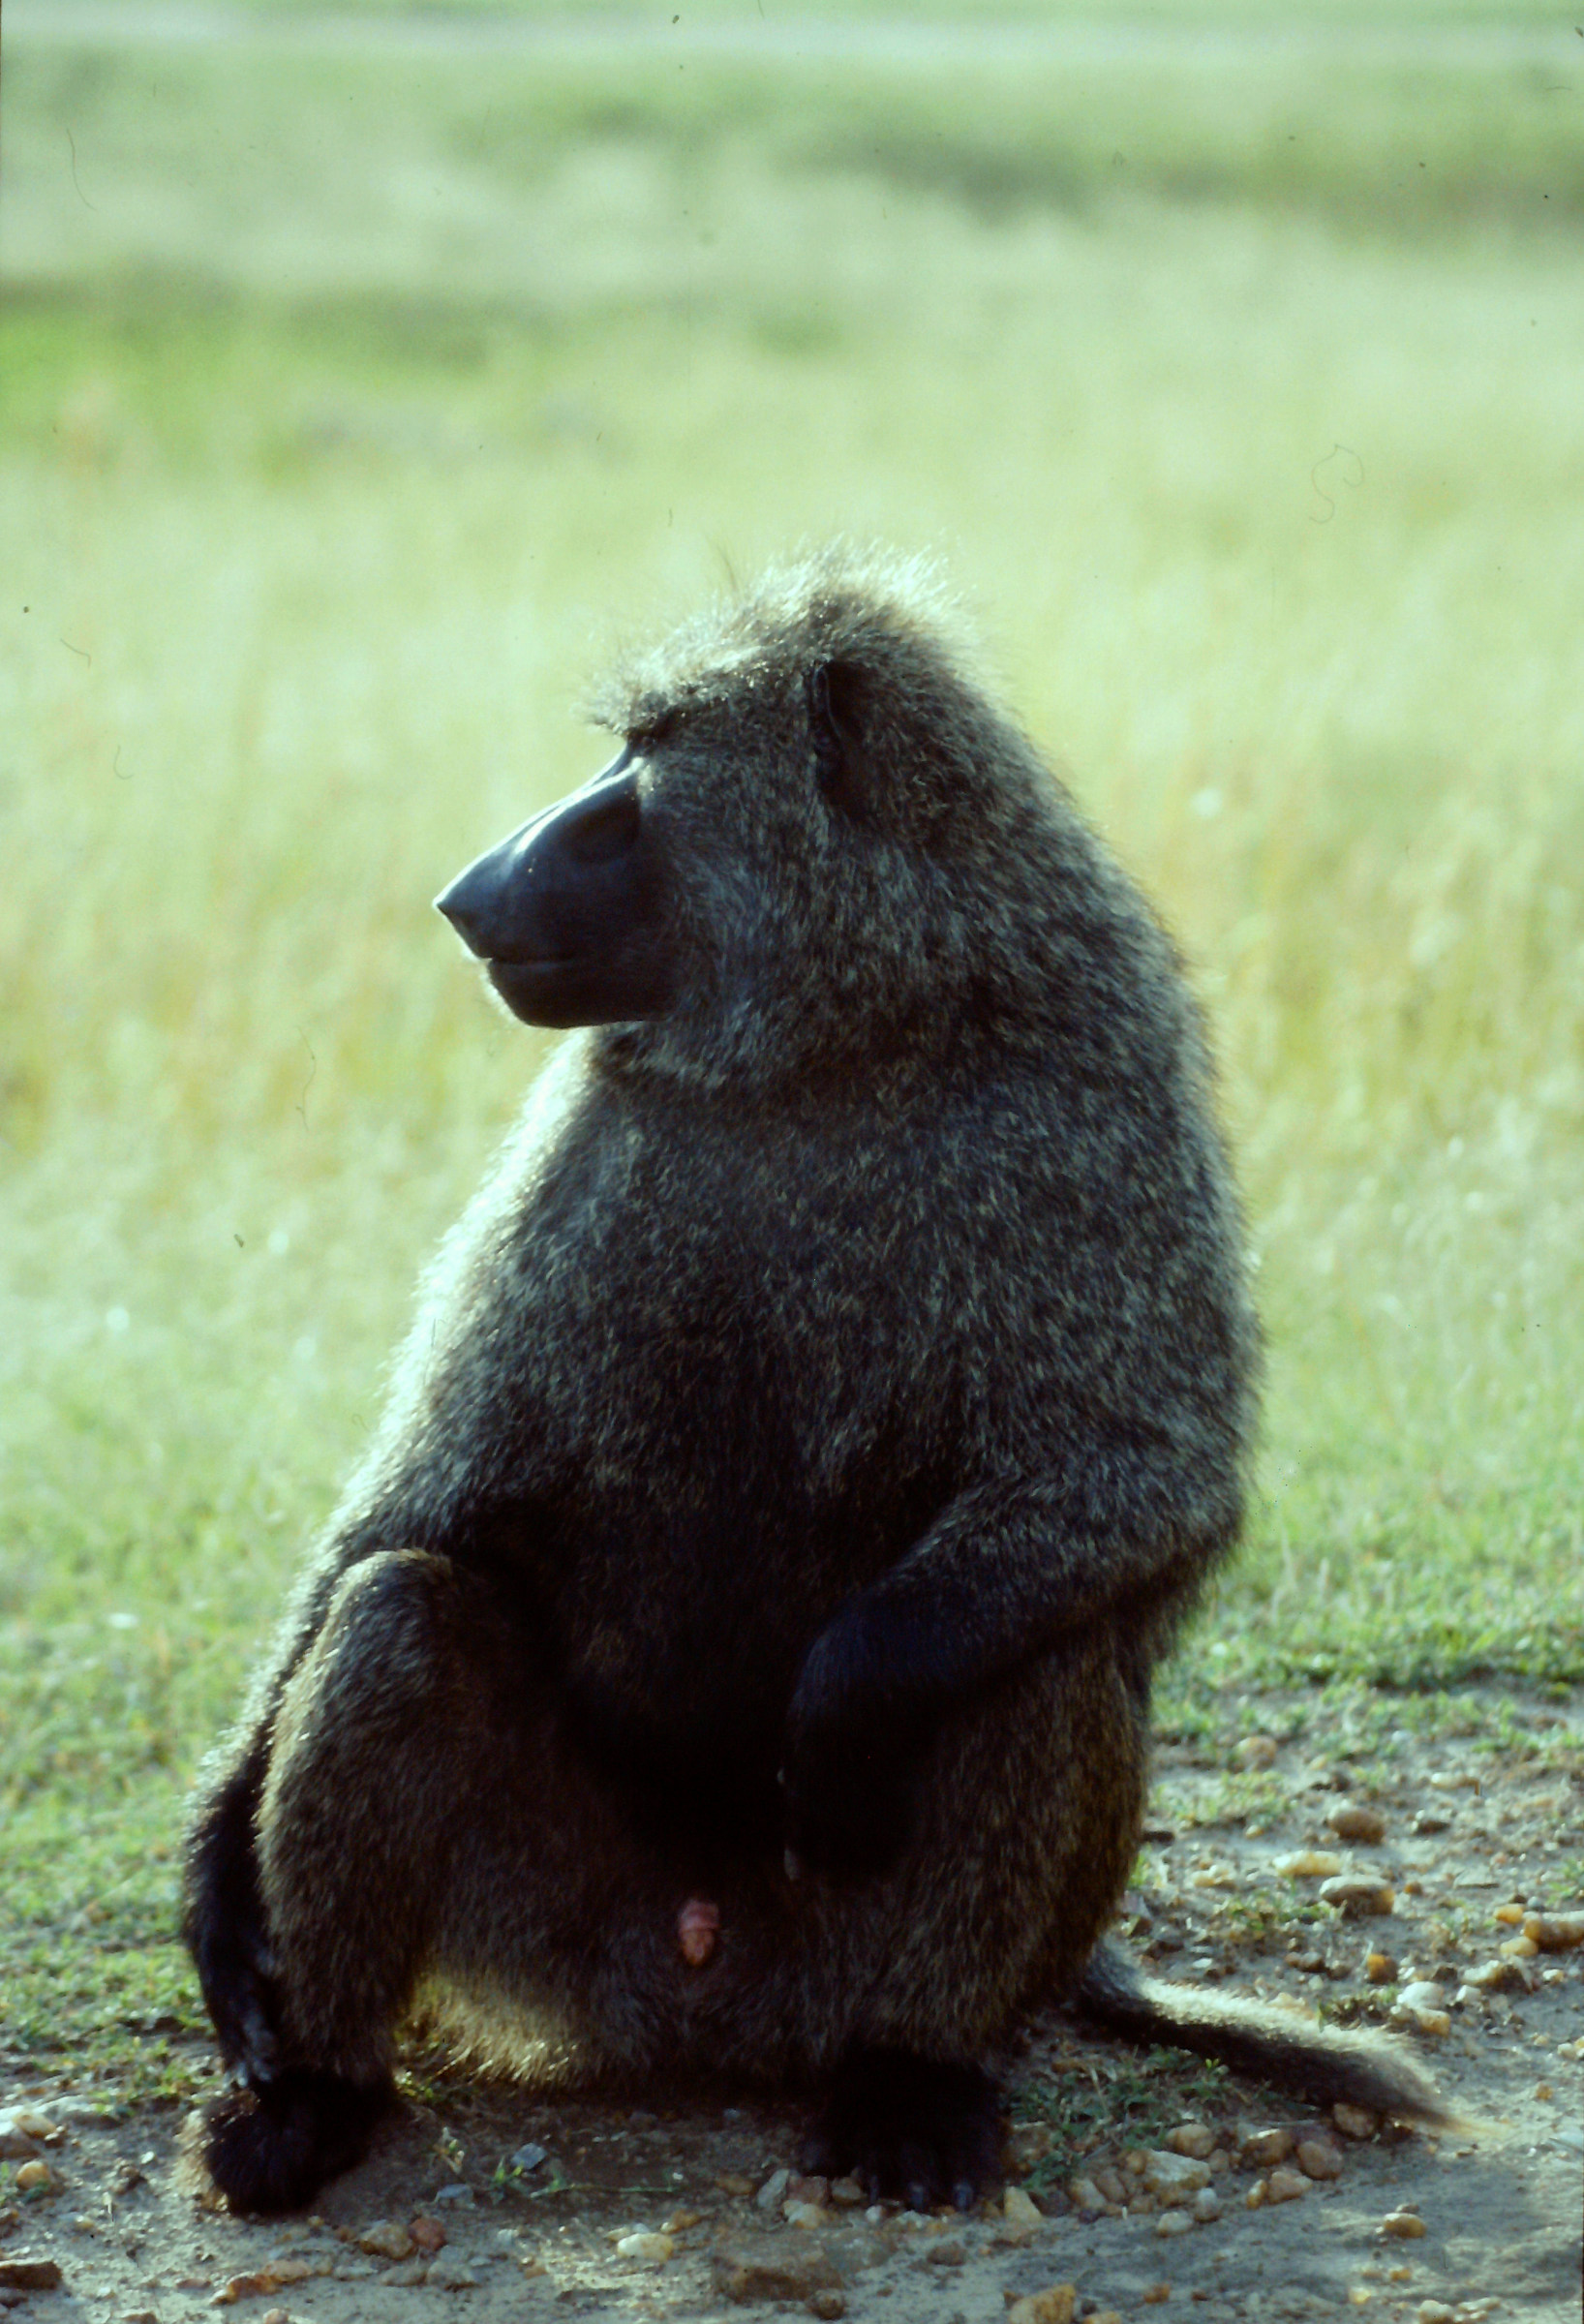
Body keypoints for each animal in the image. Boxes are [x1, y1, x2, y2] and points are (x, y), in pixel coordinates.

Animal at [182, 546, 1444, 2219]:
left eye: (646, 755)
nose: (466, 893)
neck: (841, 1035)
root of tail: (721, 2012)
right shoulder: (592, 1133)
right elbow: (424, 1502)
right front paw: (217, 1890)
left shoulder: (1101, 1091)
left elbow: (1132, 1466)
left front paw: (839, 1719)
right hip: (559, 1937)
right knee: (403, 1617)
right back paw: (316, 2101)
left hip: (870, 1961)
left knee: (1031, 1650)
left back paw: (912, 2085)